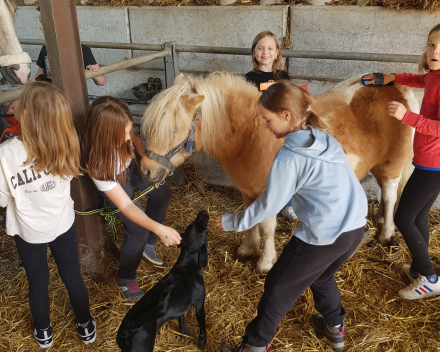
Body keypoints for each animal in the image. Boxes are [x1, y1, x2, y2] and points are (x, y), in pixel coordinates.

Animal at [117, 210, 210, 350]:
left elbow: (181, 318)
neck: (188, 262)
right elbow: (202, 328)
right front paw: (202, 344)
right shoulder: (199, 305)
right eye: (204, 228)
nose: (203, 212)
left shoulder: (180, 307)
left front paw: (184, 333)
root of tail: (126, 332)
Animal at [138, 73, 416, 274]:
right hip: (378, 164)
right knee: (384, 192)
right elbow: (248, 219)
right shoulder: (248, 189)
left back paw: (387, 234)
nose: (146, 170)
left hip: (392, 163)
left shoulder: (270, 193)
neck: (250, 135)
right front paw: (247, 250)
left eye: (174, 129)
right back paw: (379, 219)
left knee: (390, 194)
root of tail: (400, 90)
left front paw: (265, 262)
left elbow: (267, 227)